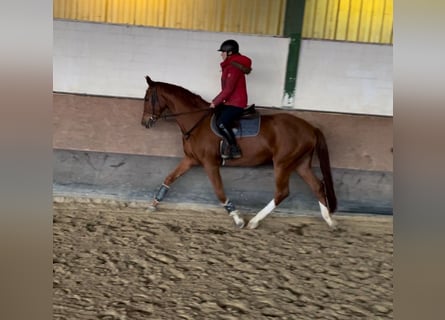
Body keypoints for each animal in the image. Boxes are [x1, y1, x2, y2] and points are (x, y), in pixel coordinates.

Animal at [140, 76, 334, 229]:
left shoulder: (210, 163)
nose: (144, 123)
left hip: (283, 163)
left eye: (148, 98)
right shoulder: (190, 159)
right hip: (300, 164)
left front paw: (237, 218)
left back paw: (254, 221)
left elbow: (219, 191)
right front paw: (153, 204)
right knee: (317, 186)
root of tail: (310, 128)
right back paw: (330, 221)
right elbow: (169, 178)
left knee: (282, 192)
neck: (196, 121)